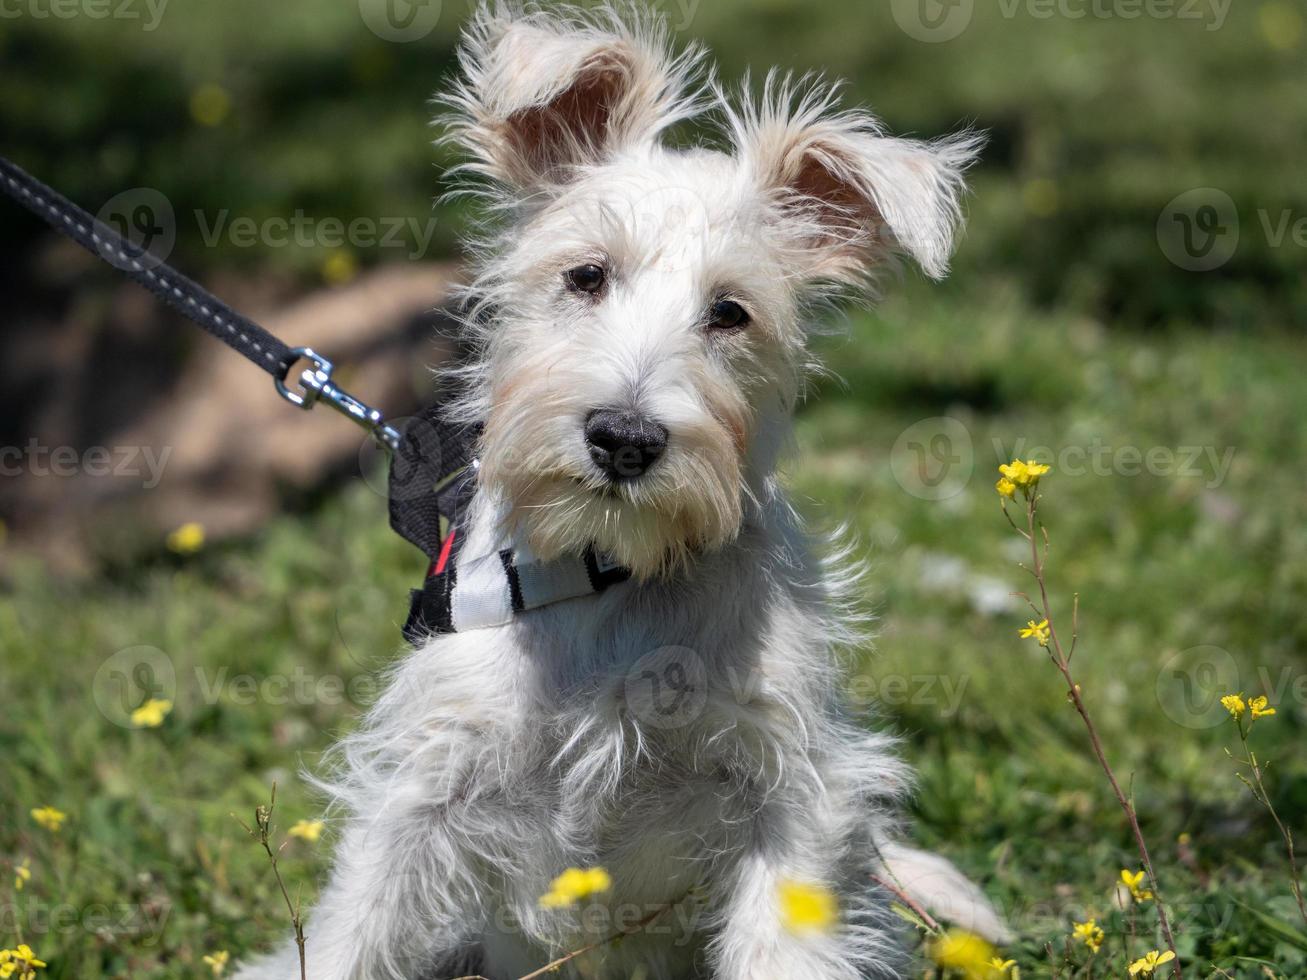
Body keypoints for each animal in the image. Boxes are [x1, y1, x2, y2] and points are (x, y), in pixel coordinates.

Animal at [237, 3, 998, 977]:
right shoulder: (427, 782)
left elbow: (783, 940)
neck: (609, 573)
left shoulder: (790, 789)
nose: (625, 439)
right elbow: (355, 927)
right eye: (586, 276)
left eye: (730, 312)